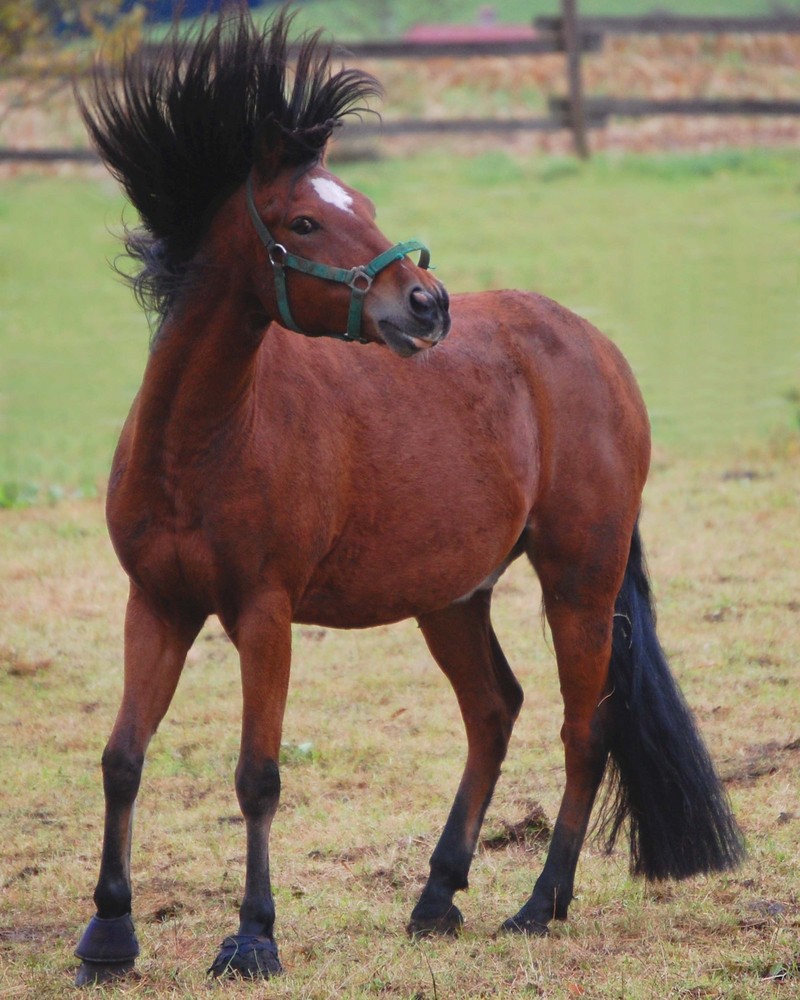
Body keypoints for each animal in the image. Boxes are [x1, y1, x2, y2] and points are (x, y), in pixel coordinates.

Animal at [73, 1, 744, 984]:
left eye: (364, 206)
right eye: (306, 220)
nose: (430, 304)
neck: (201, 443)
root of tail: (593, 345)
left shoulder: (263, 615)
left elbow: (257, 773)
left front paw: (253, 937)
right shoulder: (155, 603)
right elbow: (123, 757)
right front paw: (109, 936)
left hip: (578, 580)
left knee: (583, 730)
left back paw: (538, 904)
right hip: (453, 597)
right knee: (494, 711)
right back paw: (437, 895)